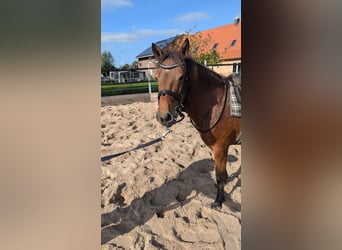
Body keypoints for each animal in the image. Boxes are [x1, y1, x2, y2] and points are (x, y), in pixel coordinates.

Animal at [152, 38, 240, 208]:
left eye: (181, 77)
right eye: (157, 76)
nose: (165, 117)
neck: (219, 104)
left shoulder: (220, 148)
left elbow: (220, 176)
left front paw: (218, 200)